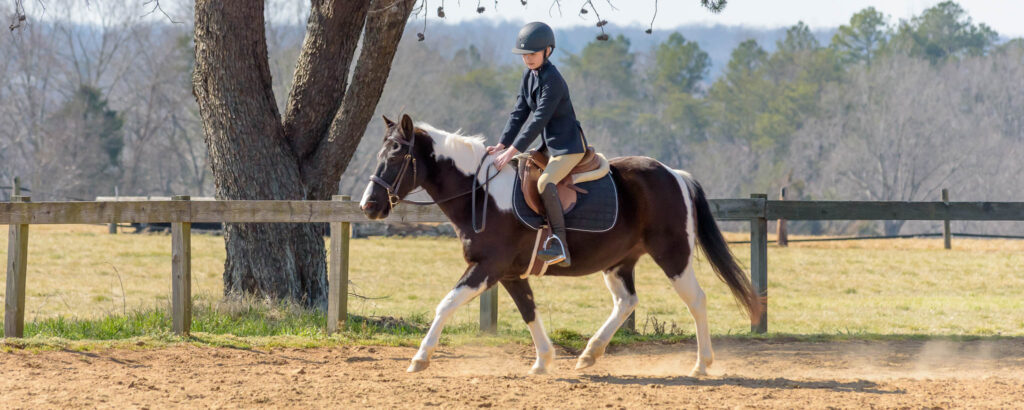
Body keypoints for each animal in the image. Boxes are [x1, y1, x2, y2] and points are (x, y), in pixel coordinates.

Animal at [360, 113, 761, 377]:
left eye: (395, 155)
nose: (369, 205)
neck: (482, 194)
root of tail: (675, 174)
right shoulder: (509, 274)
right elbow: (529, 311)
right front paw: (543, 361)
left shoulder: (486, 268)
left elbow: (445, 304)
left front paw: (420, 358)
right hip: (618, 262)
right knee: (627, 302)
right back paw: (590, 354)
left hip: (673, 256)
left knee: (696, 301)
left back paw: (701, 364)